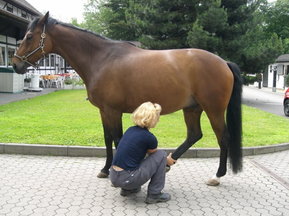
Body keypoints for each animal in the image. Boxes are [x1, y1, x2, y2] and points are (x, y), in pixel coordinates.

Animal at [12, 12, 242, 186]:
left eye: (30, 36)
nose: (15, 64)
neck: (101, 59)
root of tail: (223, 62)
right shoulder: (104, 111)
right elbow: (107, 139)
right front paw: (105, 169)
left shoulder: (113, 111)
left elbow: (117, 139)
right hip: (192, 108)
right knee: (194, 135)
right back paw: (168, 163)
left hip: (213, 109)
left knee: (223, 138)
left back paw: (217, 176)